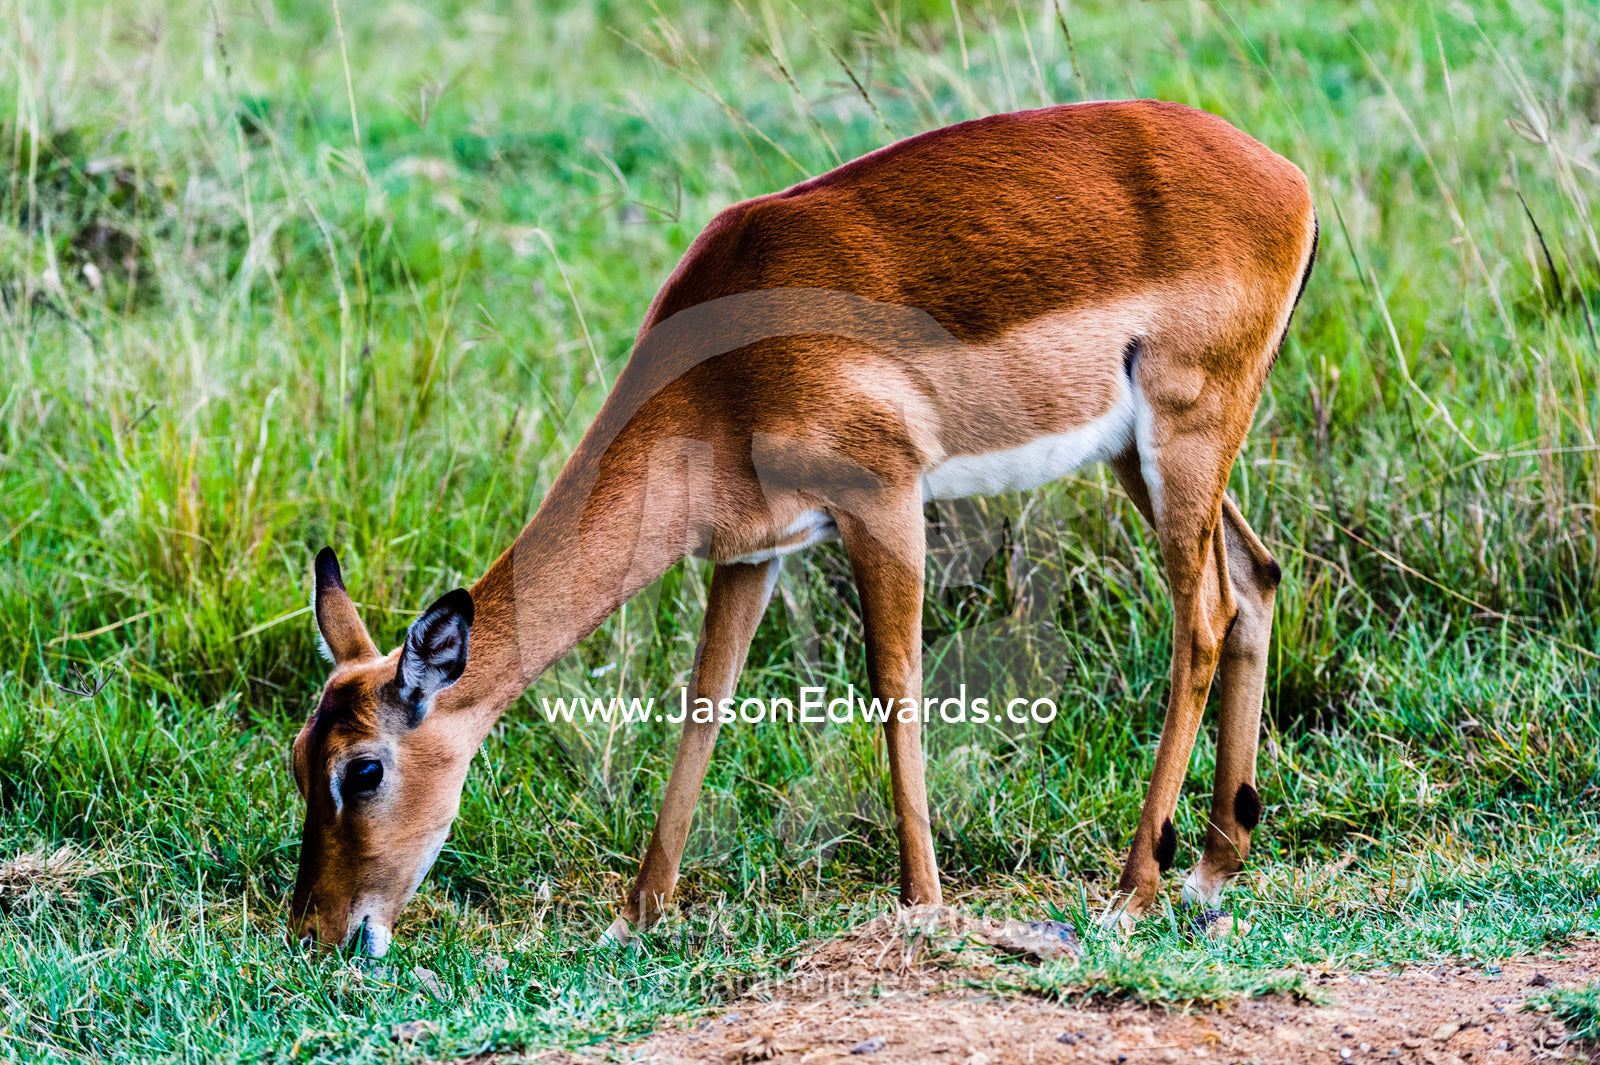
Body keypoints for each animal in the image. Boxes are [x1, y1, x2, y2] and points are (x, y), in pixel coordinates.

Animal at [290, 100, 1317, 956]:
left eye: (364, 770)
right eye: (301, 760)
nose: (317, 933)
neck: (722, 373)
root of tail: (1288, 178)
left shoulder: (883, 499)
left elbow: (895, 684)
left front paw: (923, 904)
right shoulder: (751, 552)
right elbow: (705, 703)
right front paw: (638, 914)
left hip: (1181, 438)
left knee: (1203, 617)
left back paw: (1132, 890)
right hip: (1140, 457)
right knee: (1256, 577)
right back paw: (1211, 868)